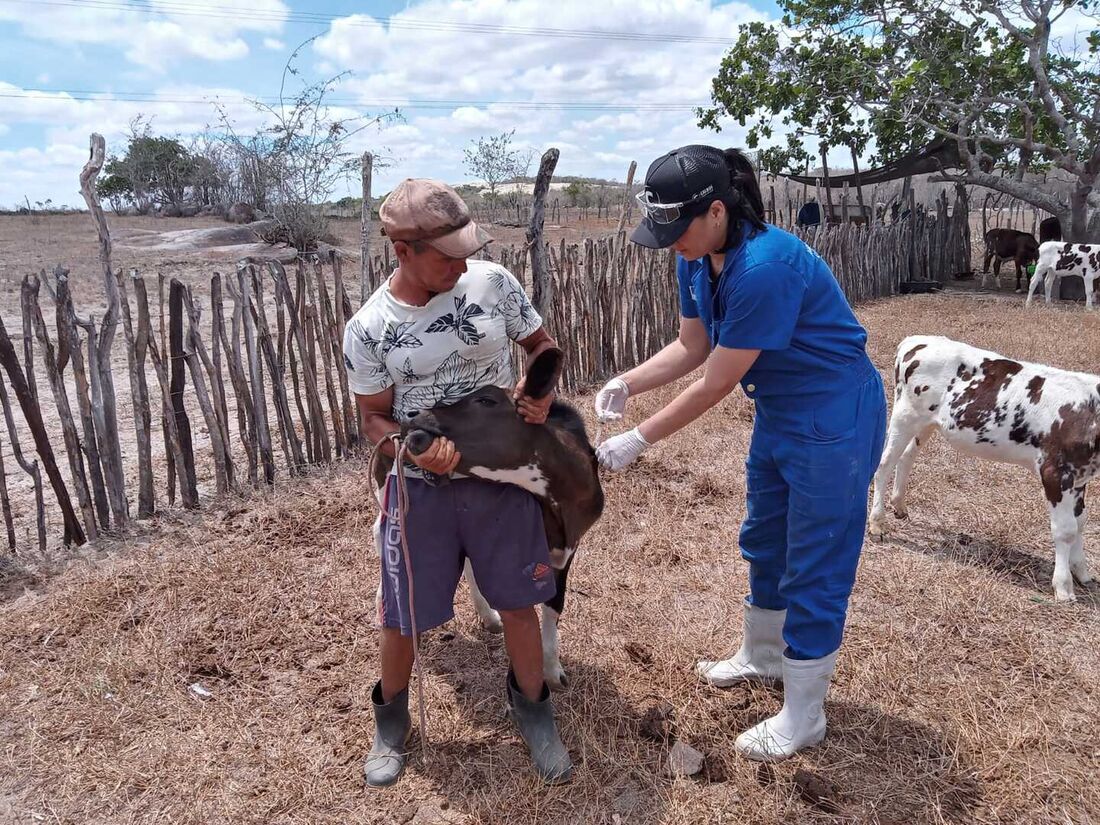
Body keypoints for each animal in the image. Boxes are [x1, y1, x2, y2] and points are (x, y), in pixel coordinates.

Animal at [871, 334, 1095, 602]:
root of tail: (916, 340)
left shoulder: (1080, 475)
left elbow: (1080, 522)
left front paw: (1081, 572)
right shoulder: (1055, 471)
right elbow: (1066, 529)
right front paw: (1063, 587)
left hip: (927, 423)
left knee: (906, 458)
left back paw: (899, 505)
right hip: (905, 415)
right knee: (884, 464)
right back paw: (877, 523)